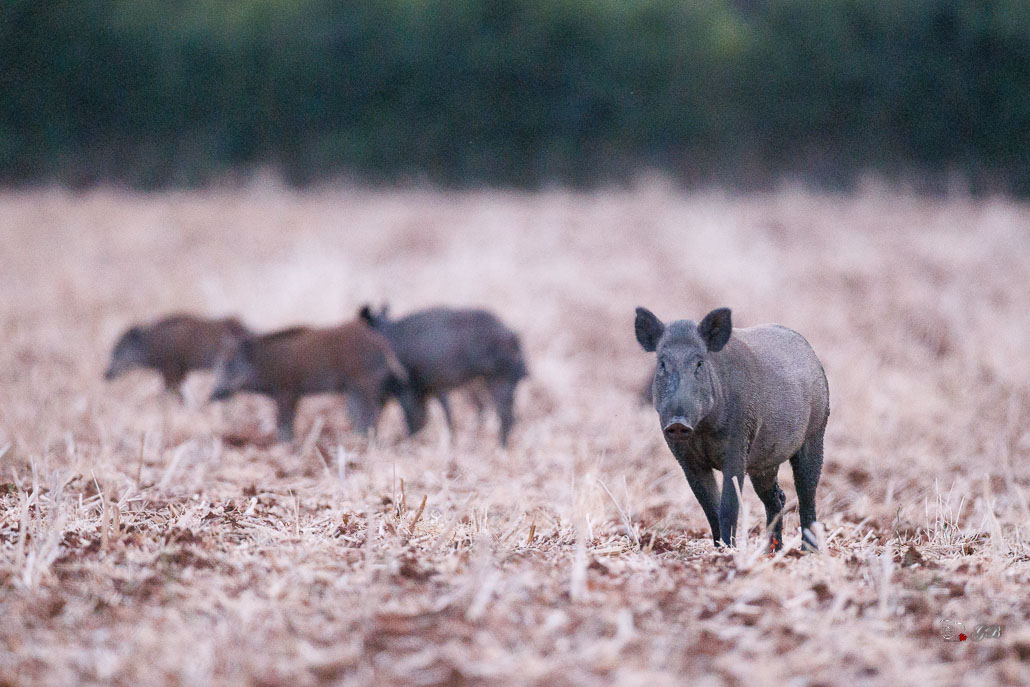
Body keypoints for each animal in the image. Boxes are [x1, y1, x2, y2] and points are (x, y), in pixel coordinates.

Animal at [209, 321, 424, 443]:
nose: (212, 395)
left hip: (363, 383)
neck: (262, 362)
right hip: (354, 388)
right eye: (218, 362)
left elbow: (284, 421)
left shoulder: (286, 391)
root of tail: (383, 345)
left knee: (371, 411)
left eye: (229, 364)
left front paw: (284, 443)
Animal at [359, 305, 528, 446]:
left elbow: (415, 419)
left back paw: (500, 447)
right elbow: (427, 418)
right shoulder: (428, 391)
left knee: (505, 415)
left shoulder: (410, 390)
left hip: (498, 380)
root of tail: (513, 336)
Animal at [634, 306, 829, 551]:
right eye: (662, 363)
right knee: (777, 497)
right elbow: (710, 507)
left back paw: (807, 551)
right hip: (764, 462)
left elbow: (729, 505)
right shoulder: (686, 459)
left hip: (816, 432)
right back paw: (771, 551)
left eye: (699, 363)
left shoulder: (738, 445)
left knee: (807, 494)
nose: (678, 422)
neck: (702, 430)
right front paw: (719, 549)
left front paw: (728, 551)